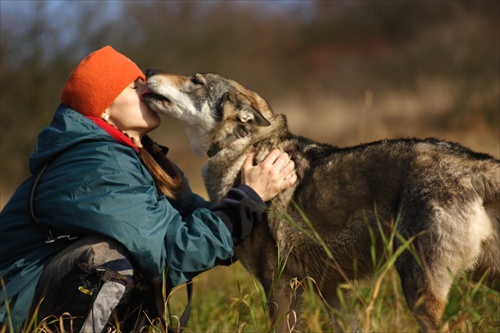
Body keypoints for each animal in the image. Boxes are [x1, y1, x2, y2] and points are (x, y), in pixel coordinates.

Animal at [143, 70, 498, 332]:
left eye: (196, 81)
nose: (149, 71)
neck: (245, 149)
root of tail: (474, 165)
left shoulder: (280, 283)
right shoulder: (331, 289)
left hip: (420, 293)